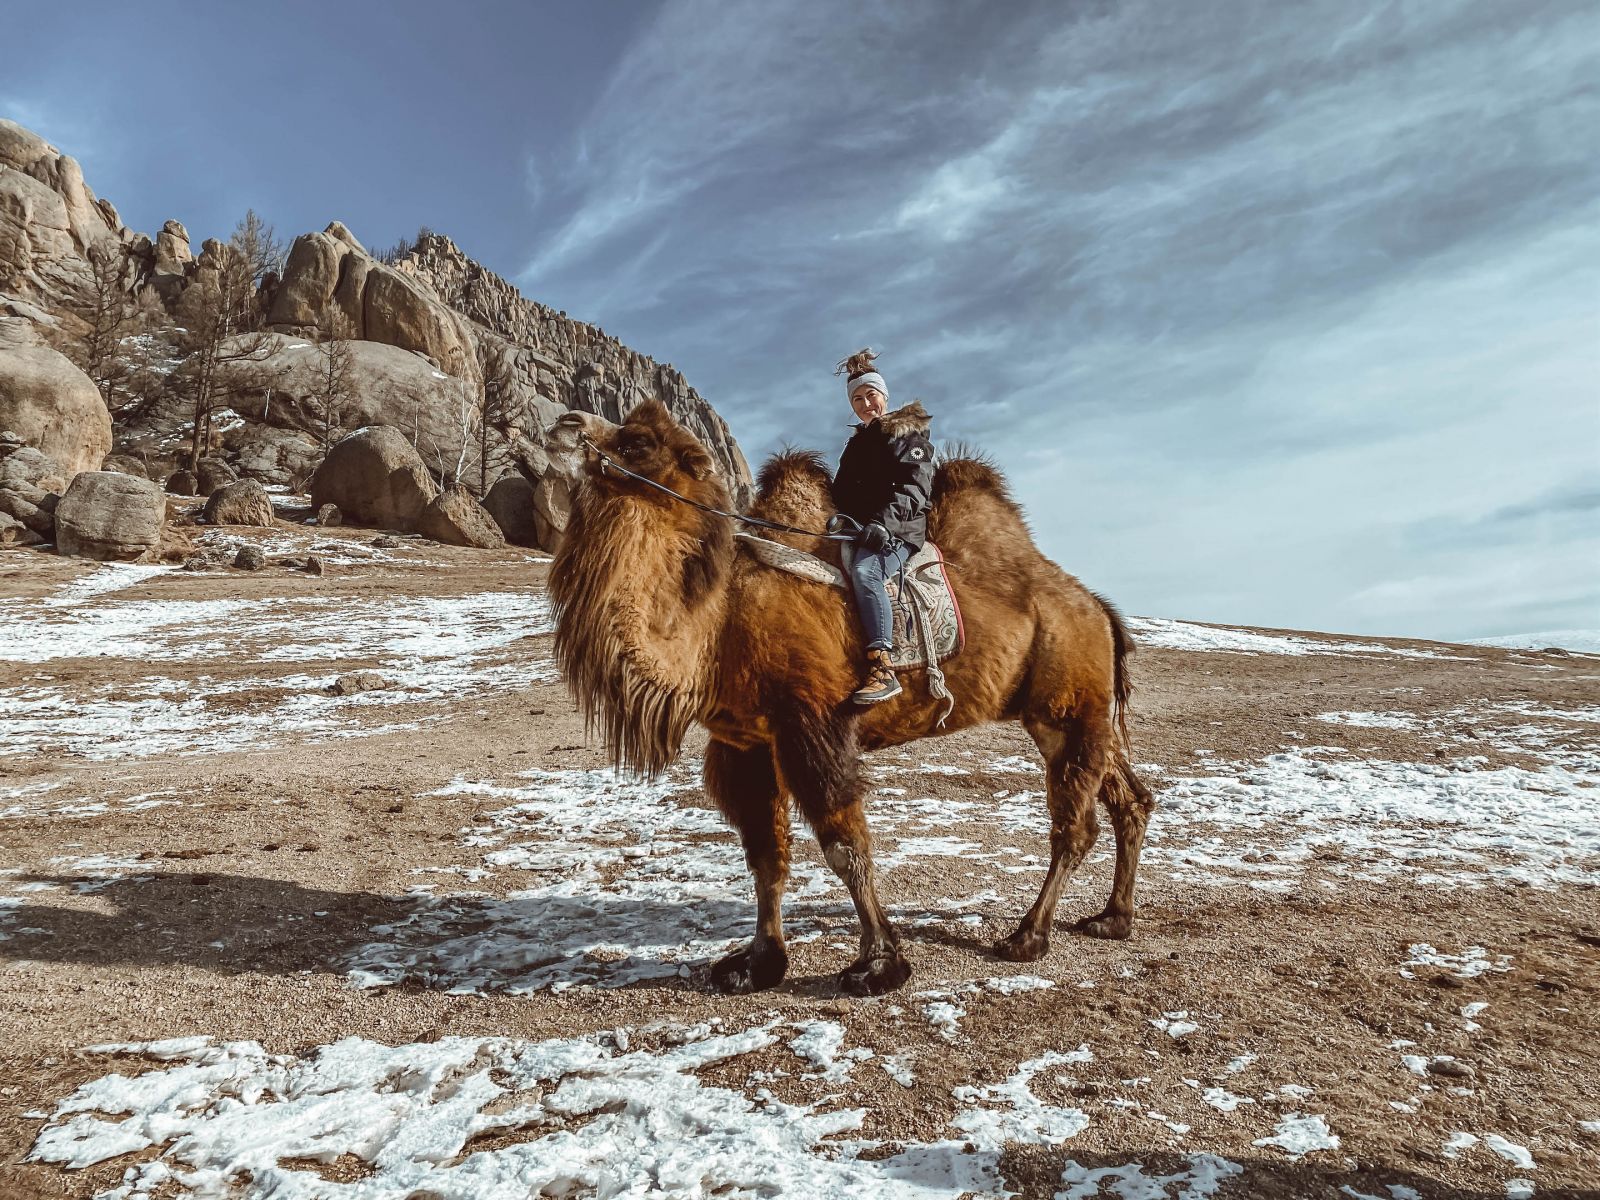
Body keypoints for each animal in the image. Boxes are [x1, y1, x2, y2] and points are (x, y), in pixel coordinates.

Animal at [550, 401, 1152, 998]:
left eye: (638, 442)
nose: (564, 424)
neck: (717, 626)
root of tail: (1100, 608)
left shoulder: (811, 725)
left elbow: (844, 847)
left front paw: (878, 965)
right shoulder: (746, 743)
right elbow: (765, 856)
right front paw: (757, 963)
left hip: (1066, 707)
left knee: (1074, 827)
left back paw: (1028, 936)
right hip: (1079, 713)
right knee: (1131, 799)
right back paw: (1112, 918)